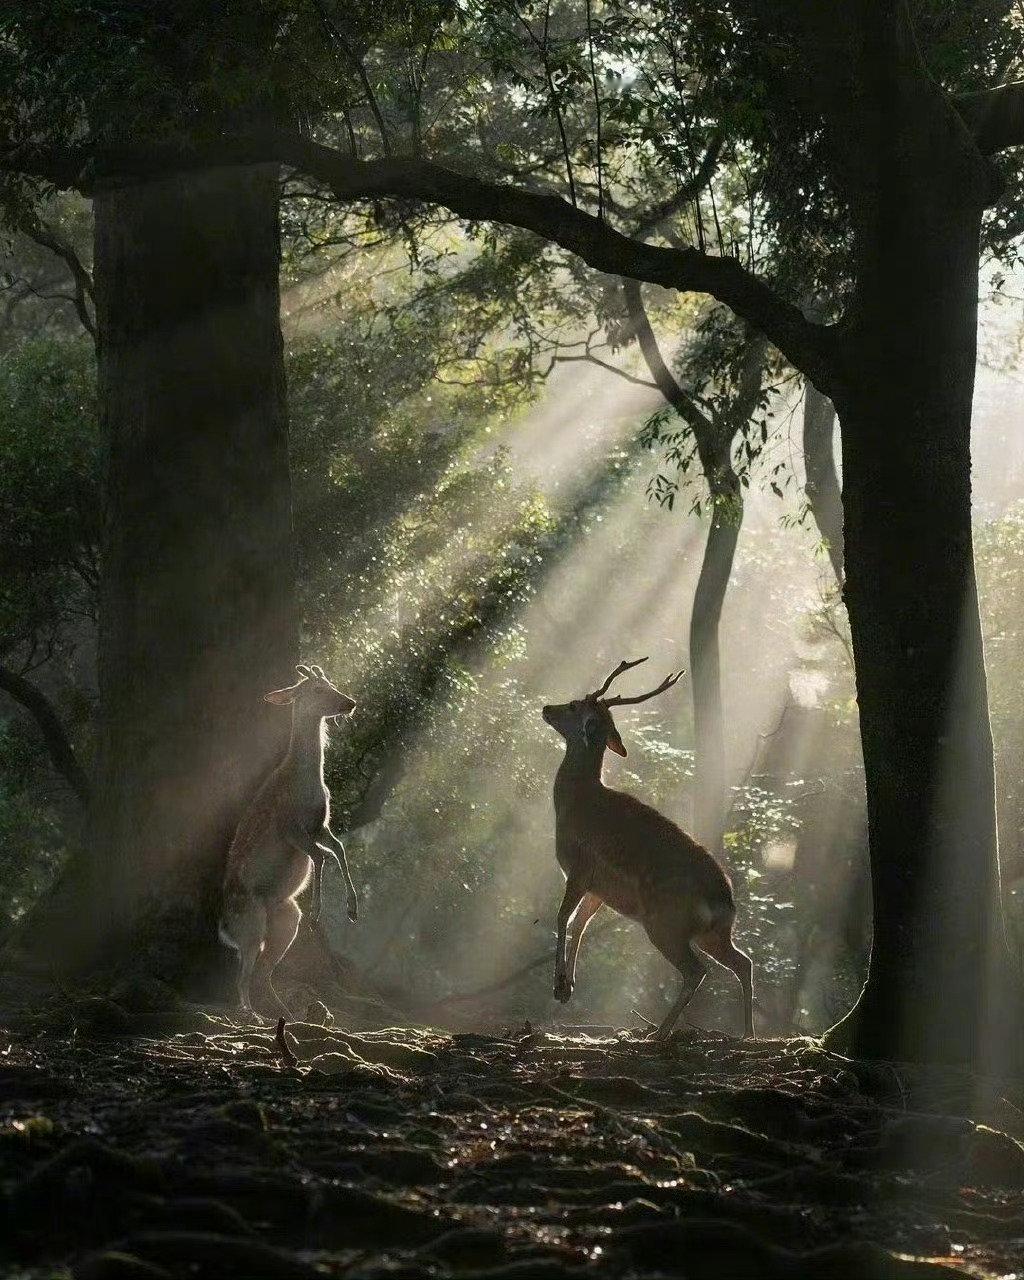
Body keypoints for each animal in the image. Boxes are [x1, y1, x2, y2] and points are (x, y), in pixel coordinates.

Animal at [218, 665, 360, 1013]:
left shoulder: (320, 825)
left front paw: (352, 910)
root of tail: (224, 929)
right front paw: (318, 914)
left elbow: (339, 849)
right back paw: (252, 1015)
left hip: (284, 919)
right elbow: (321, 855)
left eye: (330, 683)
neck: (306, 784)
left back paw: (284, 1013)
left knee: (262, 973)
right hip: (251, 924)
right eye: (318, 689)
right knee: (242, 977)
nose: (349, 703)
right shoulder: (291, 829)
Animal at [542, 660, 752, 1039]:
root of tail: (725, 903)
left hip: (664, 923)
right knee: (743, 962)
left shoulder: (578, 868)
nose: (547, 708)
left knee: (697, 971)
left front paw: (559, 985)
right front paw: (568, 986)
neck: (573, 801)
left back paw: (658, 1033)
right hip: (712, 934)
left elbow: (562, 917)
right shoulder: (599, 888)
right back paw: (748, 1033)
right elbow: (580, 924)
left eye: (574, 706)